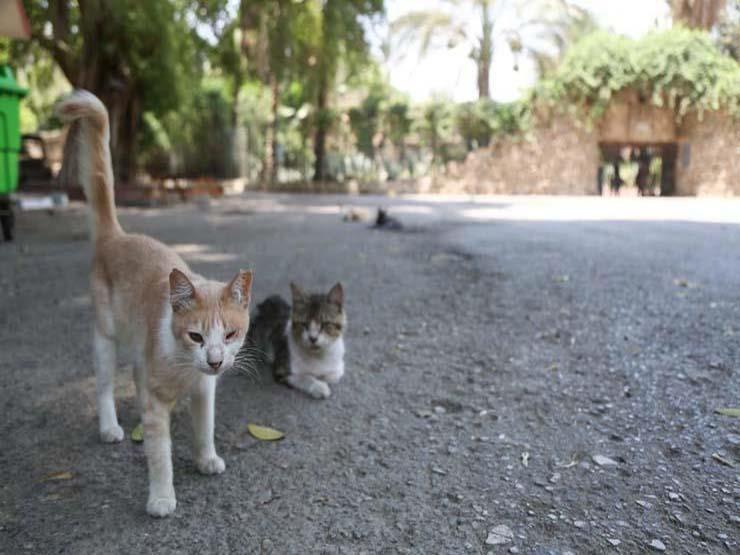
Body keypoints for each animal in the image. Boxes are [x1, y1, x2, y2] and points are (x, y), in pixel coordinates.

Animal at [57, 89, 254, 520]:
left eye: (231, 334)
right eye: (196, 336)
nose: (216, 361)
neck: (185, 371)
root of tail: (116, 236)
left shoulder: (205, 391)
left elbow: (204, 428)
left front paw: (206, 458)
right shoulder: (158, 406)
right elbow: (159, 454)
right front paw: (162, 497)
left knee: (135, 374)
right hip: (105, 337)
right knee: (104, 385)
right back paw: (110, 427)